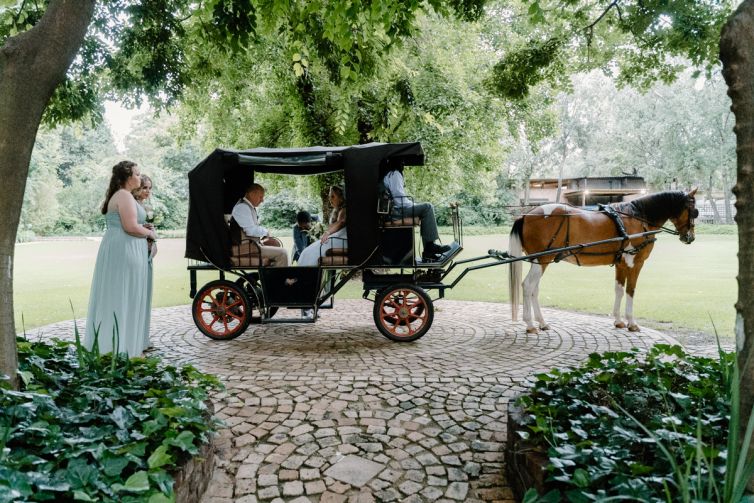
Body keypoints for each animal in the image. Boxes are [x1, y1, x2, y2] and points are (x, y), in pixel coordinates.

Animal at [508, 191, 696, 332]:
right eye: (693, 210)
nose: (690, 238)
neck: (638, 218)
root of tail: (526, 216)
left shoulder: (621, 264)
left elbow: (619, 290)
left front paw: (618, 321)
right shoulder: (635, 263)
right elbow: (631, 290)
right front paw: (631, 323)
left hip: (540, 262)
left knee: (534, 289)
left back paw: (541, 322)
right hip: (542, 259)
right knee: (527, 286)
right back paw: (530, 324)